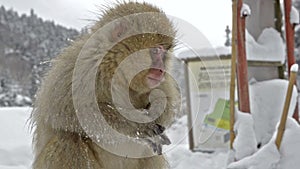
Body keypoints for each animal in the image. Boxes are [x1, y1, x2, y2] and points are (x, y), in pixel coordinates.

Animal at [30, 1, 179, 169]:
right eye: (155, 51)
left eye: (164, 52)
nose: (161, 70)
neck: (115, 69)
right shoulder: (78, 65)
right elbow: (64, 112)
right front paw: (136, 125)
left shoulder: (162, 82)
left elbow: (167, 103)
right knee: (68, 140)